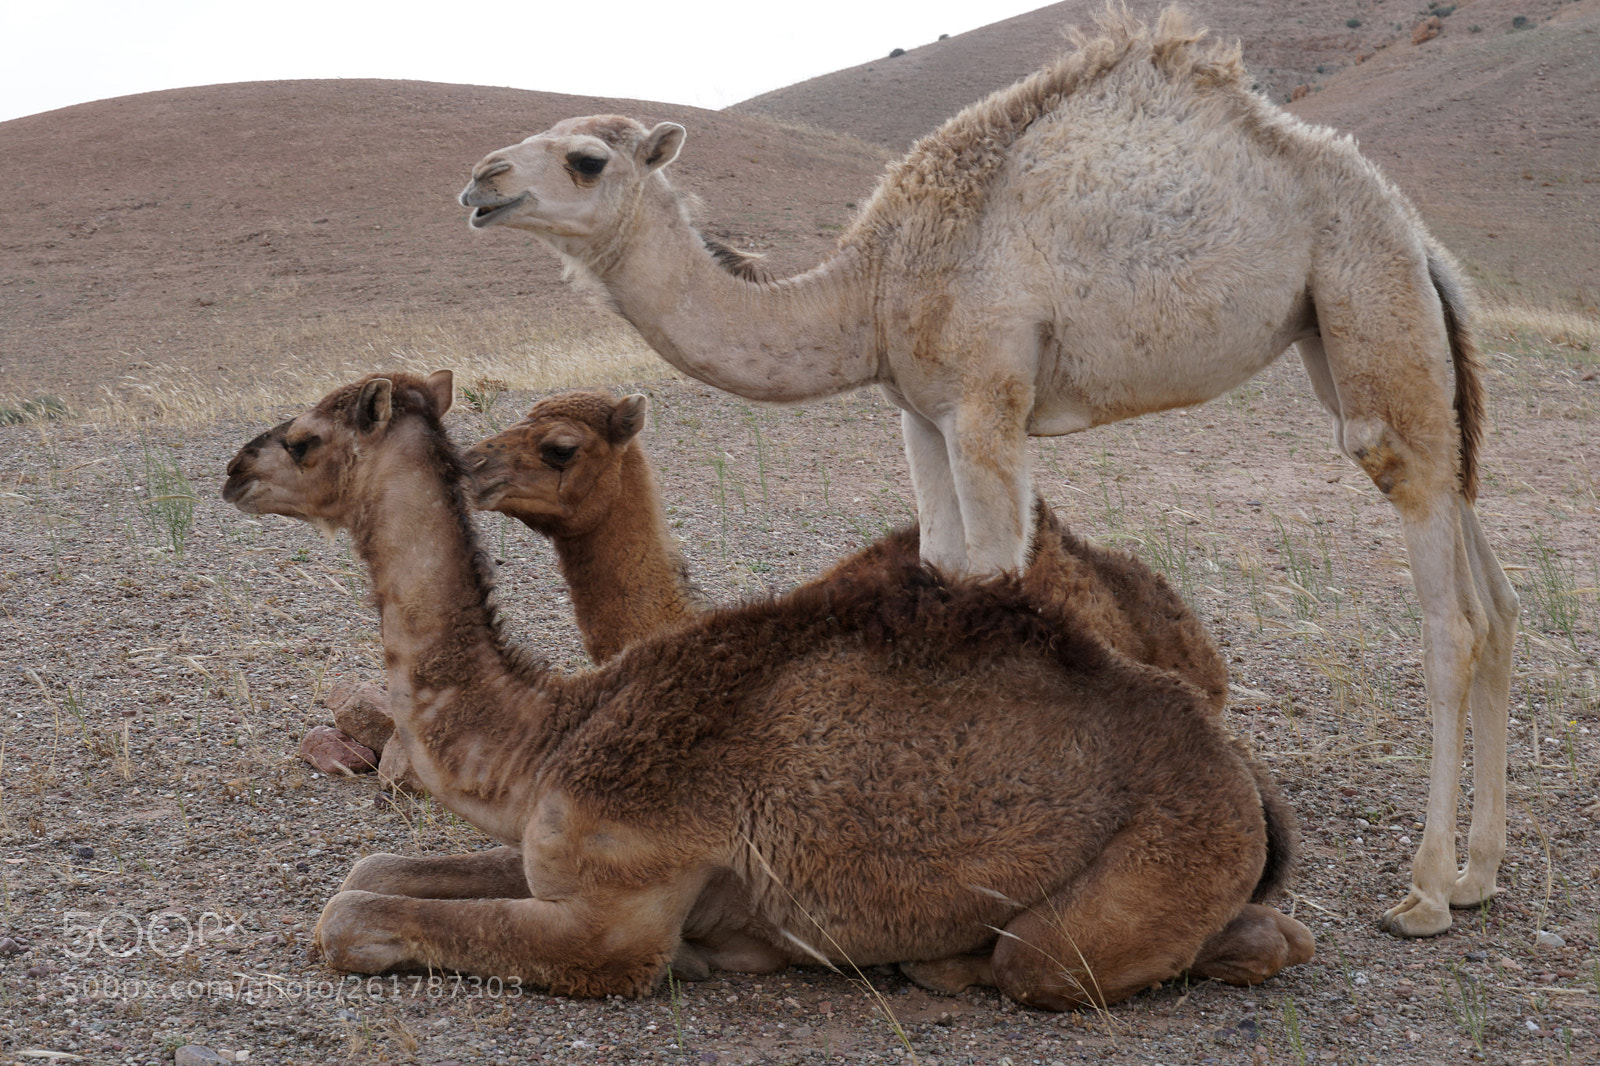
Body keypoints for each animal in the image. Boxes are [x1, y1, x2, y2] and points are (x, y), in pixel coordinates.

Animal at [222, 369, 1313, 1008]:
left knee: (1084, 954)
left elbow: (347, 917)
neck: (548, 733)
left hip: (1151, 869)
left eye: (306, 438)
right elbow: (367, 872)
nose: (232, 467)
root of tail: (1244, 787)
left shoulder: (618, 912)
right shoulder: (551, 858)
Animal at [458, 6, 1518, 938]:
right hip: (1358, 339)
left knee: (1448, 609)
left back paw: (1425, 892)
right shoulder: (920, 416)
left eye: (587, 158)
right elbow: (941, 573)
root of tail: (1418, 235)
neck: (871, 285)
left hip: (1367, 299)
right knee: (1494, 589)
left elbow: (1004, 583)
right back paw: (1479, 877)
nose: (478, 180)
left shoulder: (986, 404)